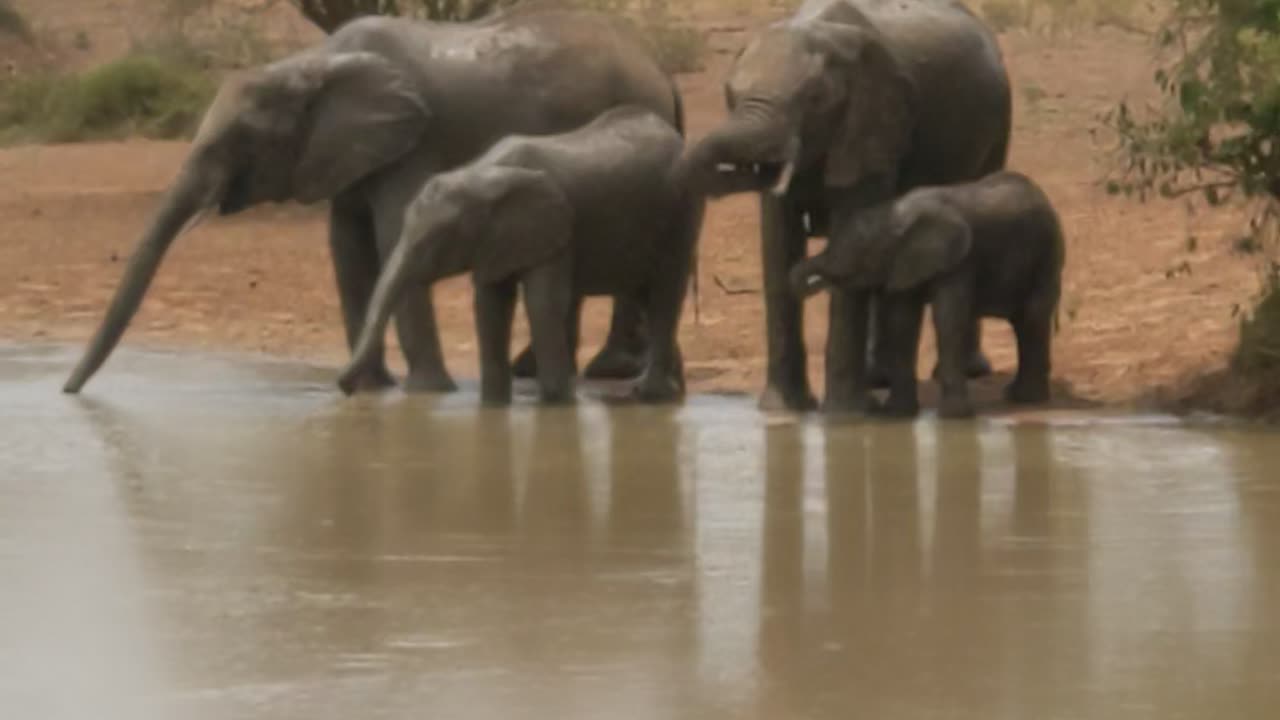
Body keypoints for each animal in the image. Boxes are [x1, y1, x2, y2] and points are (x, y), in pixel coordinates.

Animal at [60, 1, 680, 392]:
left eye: (235, 143)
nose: (68, 392)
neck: (311, 65)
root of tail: (660, 69)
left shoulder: (413, 142)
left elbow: (388, 234)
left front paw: (426, 393)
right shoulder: (348, 152)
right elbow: (347, 248)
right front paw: (373, 388)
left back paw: (607, 372)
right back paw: (549, 371)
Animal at [335, 107, 706, 404]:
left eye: (435, 241)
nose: (346, 389)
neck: (479, 176)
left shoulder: (555, 228)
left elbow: (542, 303)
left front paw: (558, 405)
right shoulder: (495, 241)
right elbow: (489, 307)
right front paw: (494, 406)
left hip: (682, 211)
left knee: (665, 295)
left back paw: (652, 395)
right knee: (645, 295)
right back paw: (674, 395)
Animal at [675, 0, 1013, 412]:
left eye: (815, 99)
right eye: (729, 93)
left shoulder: (871, 126)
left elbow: (850, 237)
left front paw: (844, 414)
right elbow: (778, 244)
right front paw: (782, 409)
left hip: (999, 122)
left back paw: (967, 372)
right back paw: (877, 379)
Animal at [783, 170, 1064, 417]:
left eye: (863, 258)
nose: (814, 284)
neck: (897, 216)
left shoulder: (959, 261)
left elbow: (948, 318)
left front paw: (953, 417)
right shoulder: (905, 261)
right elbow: (902, 321)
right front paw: (897, 413)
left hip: (1048, 254)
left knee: (1032, 318)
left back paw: (1026, 398)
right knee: (1025, 321)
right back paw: (1015, 395)